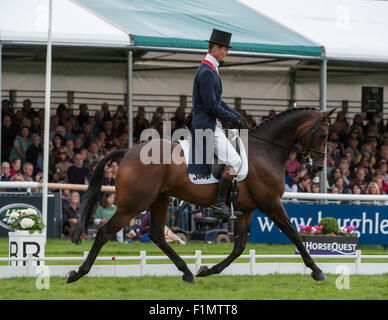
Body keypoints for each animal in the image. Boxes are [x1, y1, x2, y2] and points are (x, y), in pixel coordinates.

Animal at [66, 107, 334, 284]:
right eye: (323, 135)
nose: (318, 168)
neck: (266, 150)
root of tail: (130, 151)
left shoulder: (246, 209)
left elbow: (239, 246)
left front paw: (207, 270)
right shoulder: (271, 203)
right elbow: (294, 234)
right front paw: (317, 271)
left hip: (160, 199)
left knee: (157, 234)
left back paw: (187, 272)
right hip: (133, 205)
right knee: (104, 233)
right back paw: (78, 273)